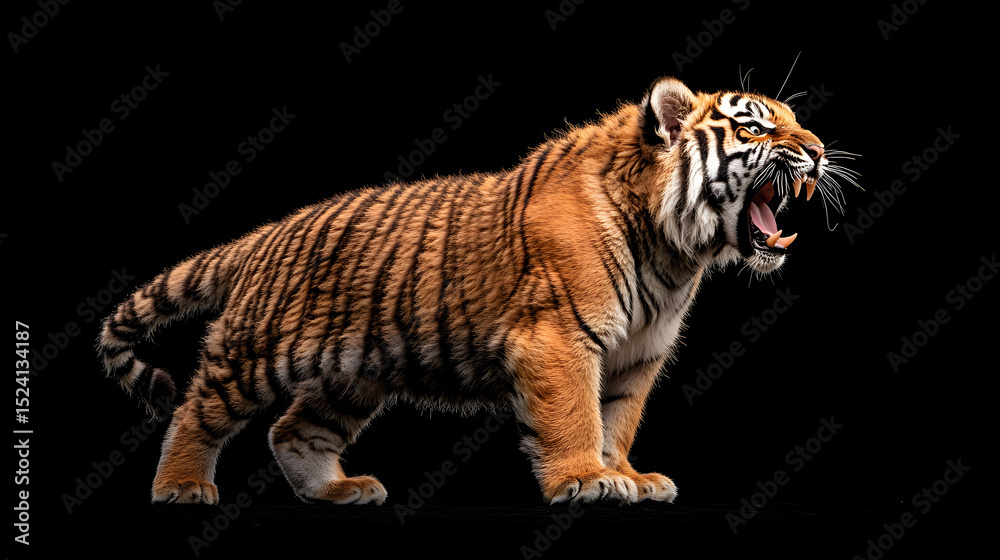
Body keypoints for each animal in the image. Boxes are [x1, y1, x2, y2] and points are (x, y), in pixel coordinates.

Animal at [98, 76, 849, 506]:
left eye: (793, 121)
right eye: (755, 127)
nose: (818, 151)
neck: (673, 250)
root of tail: (267, 233)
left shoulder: (637, 355)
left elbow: (617, 419)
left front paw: (629, 478)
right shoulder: (560, 337)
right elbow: (576, 415)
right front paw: (584, 479)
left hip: (352, 375)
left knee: (294, 430)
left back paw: (340, 491)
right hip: (257, 354)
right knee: (195, 411)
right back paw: (182, 487)